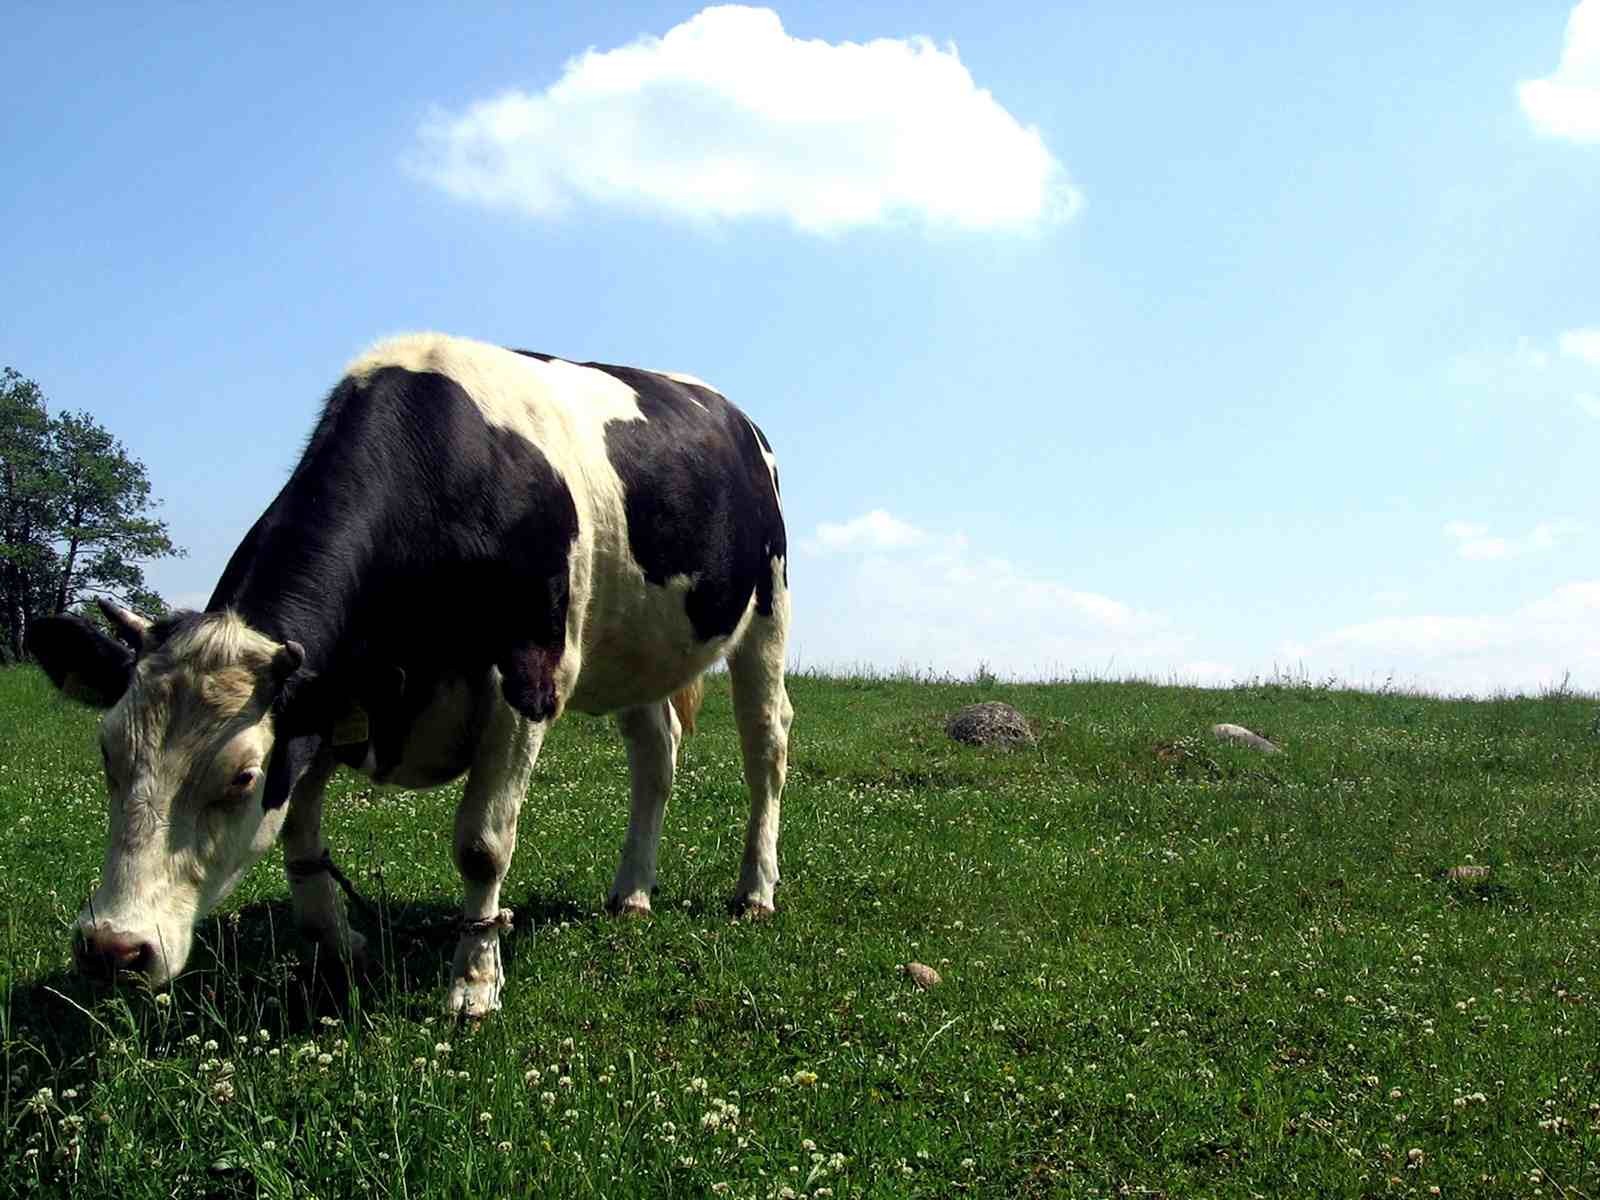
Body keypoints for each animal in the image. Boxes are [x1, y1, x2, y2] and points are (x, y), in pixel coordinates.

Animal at [27, 332, 793, 1017]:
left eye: (242, 777)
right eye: (107, 753)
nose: (112, 948)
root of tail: (734, 413)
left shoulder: (528, 675)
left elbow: (482, 845)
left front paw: (474, 984)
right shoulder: (336, 694)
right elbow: (299, 832)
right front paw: (339, 947)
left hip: (767, 608)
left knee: (766, 746)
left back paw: (755, 891)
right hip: (636, 648)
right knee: (656, 754)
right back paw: (631, 891)